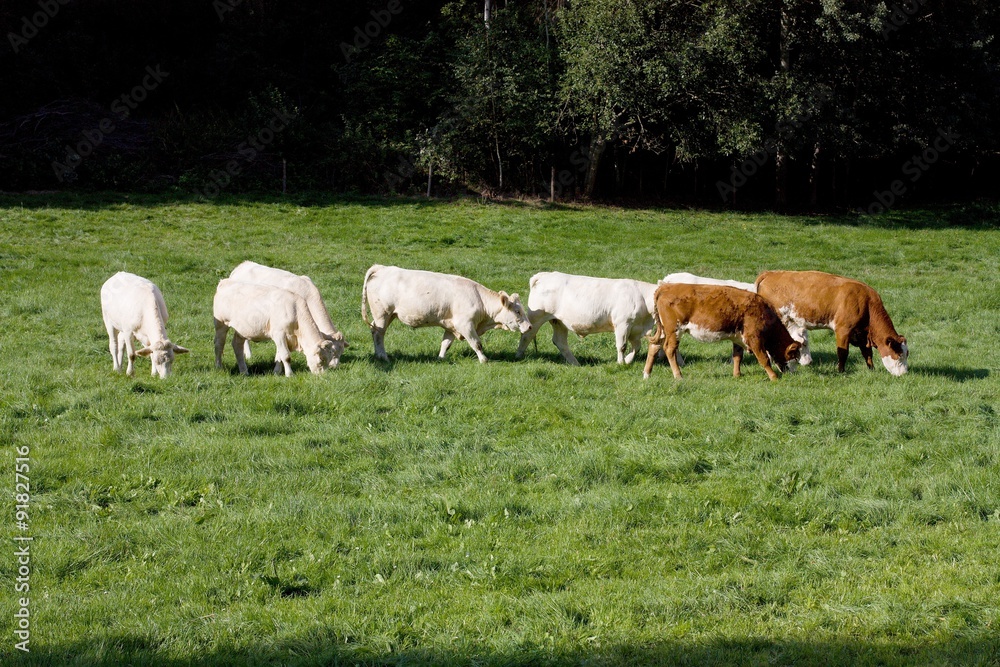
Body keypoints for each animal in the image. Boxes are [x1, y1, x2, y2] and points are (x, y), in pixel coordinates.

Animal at [361, 265, 531, 363]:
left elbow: (446, 344)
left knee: (374, 331)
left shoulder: (451, 326)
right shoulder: (465, 325)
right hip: (382, 313)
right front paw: (484, 360)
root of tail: (382, 268)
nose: (529, 327)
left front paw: (440, 359)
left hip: (389, 315)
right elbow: (477, 343)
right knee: (379, 334)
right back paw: (383, 357)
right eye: (517, 311)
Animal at [515, 271, 668, 366]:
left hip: (559, 321)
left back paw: (575, 363)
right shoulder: (622, 324)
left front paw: (628, 360)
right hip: (536, 317)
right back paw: (518, 356)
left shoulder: (636, 328)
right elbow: (622, 346)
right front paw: (621, 363)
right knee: (527, 335)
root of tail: (544, 275)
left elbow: (636, 347)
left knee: (560, 342)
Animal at [643, 283, 801, 381]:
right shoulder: (754, 337)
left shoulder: (738, 338)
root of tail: (666, 287)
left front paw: (737, 375)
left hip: (664, 331)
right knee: (669, 349)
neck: (764, 311)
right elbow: (764, 359)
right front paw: (773, 377)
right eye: (793, 355)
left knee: (654, 346)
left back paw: (647, 374)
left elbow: (737, 356)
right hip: (674, 330)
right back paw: (678, 376)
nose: (793, 373)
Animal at [755, 270, 908, 375]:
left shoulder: (862, 335)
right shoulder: (843, 330)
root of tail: (770, 273)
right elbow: (843, 352)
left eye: (907, 354)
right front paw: (841, 371)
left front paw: (871, 369)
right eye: (899, 354)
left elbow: (867, 353)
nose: (904, 374)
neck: (866, 303)